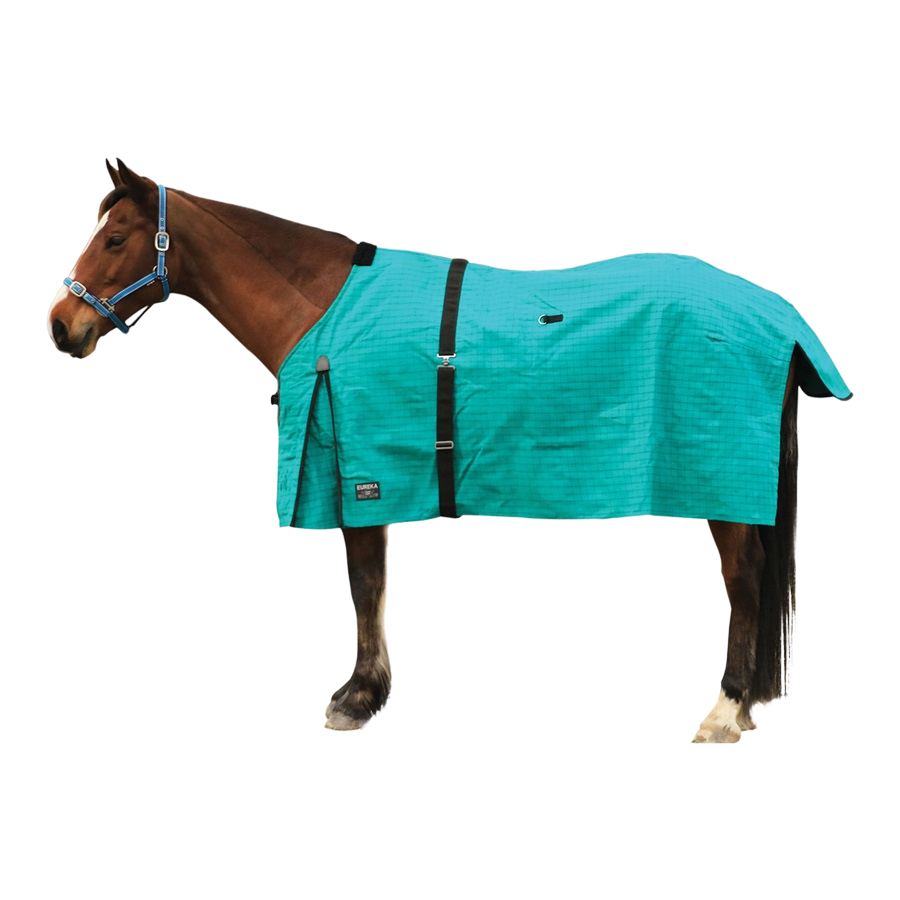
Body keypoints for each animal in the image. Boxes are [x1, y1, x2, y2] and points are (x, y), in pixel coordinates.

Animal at [47, 159, 852, 741]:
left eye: (114, 239)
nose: (61, 327)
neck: (327, 306)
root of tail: (776, 313)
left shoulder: (359, 472)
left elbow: (365, 584)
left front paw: (357, 698)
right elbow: (374, 587)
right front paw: (368, 692)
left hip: (723, 486)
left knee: (744, 582)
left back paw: (726, 710)